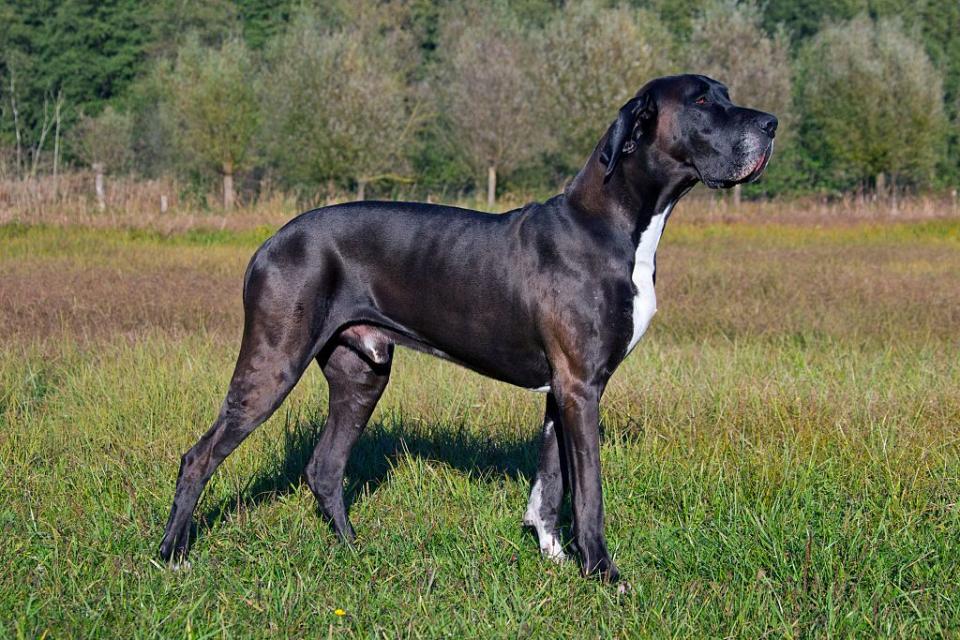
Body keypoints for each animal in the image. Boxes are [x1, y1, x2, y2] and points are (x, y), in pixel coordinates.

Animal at [158, 74, 772, 580]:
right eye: (701, 101)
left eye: (725, 93)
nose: (770, 124)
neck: (613, 223)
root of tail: (268, 242)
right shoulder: (581, 385)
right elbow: (588, 491)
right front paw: (602, 572)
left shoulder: (562, 389)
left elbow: (550, 481)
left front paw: (552, 554)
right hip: (274, 362)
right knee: (199, 456)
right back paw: (172, 555)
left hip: (362, 373)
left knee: (325, 468)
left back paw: (354, 550)